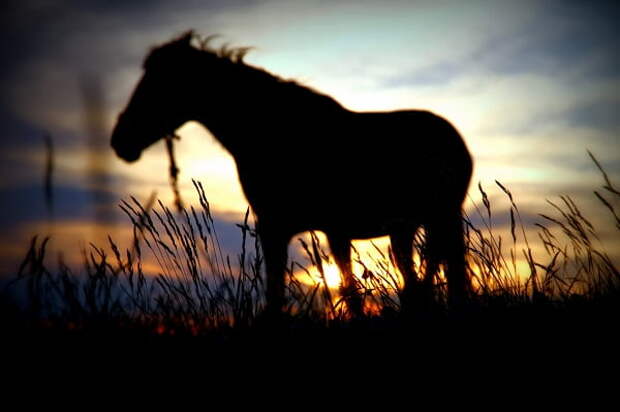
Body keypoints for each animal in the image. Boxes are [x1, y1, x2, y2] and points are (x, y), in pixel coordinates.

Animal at [109, 32, 472, 316]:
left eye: (158, 83)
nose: (120, 141)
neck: (281, 132)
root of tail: (454, 138)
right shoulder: (307, 230)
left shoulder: (287, 227)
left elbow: (304, 296)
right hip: (410, 229)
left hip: (441, 218)